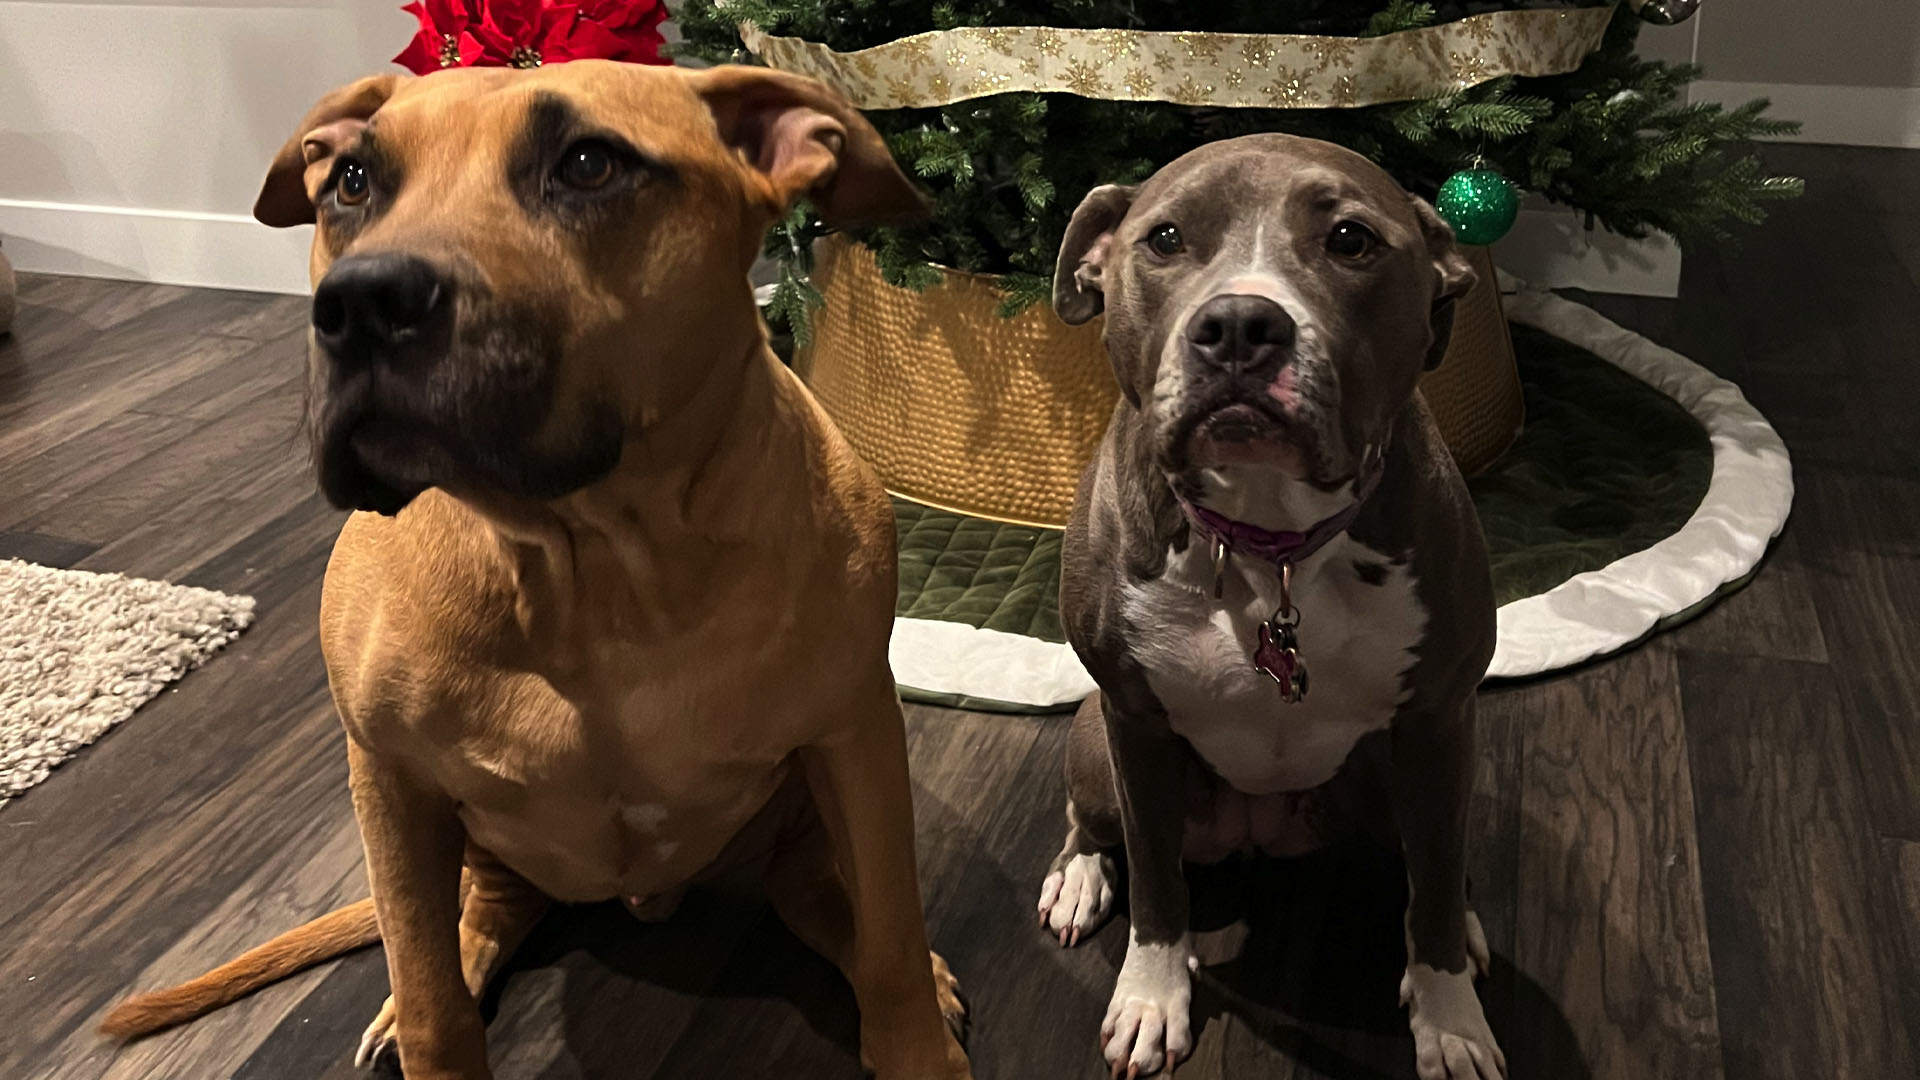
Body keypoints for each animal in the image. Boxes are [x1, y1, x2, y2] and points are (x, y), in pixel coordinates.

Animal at [103, 62, 967, 1076]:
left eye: (589, 164)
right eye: (352, 182)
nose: (362, 304)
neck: (590, 566)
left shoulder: (856, 735)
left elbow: (894, 935)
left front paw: (915, 1040)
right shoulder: (389, 780)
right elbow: (433, 999)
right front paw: (427, 1024)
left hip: (804, 811)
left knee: (835, 905)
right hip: (464, 843)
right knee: (470, 919)